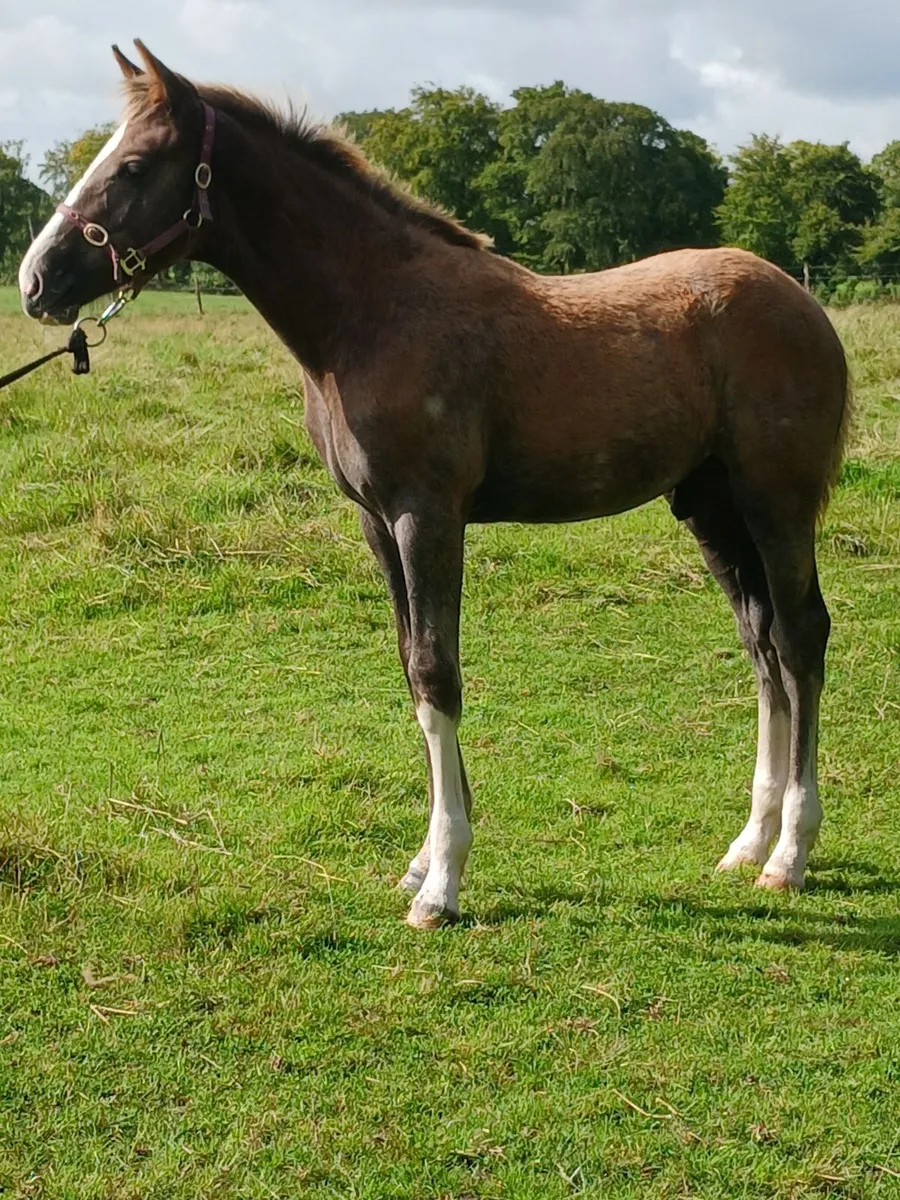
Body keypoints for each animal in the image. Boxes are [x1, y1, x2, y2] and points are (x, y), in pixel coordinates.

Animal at [18, 41, 851, 929]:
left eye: (133, 166)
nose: (35, 282)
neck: (370, 312)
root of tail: (802, 300)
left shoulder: (429, 515)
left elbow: (435, 673)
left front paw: (443, 884)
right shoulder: (377, 523)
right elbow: (409, 663)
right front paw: (423, 862)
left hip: (775, 502)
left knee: (801, 637)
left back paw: (791, 854)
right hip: (710, 506)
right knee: (761, 641)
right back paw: (750, 841)